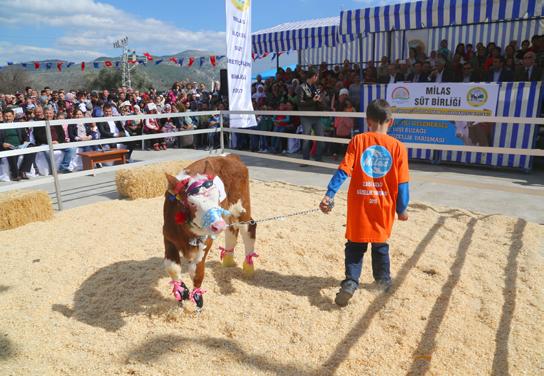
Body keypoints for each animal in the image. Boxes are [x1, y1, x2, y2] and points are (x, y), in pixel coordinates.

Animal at [162, 154, 258, 310]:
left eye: (217, 196)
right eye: (192, 203)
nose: (217, 225)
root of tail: (230, 156)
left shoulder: (205, 240)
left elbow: (196, 272)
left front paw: (197, 299)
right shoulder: (168, 236)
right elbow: (172, 267)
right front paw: (182, 293)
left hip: (241, 206)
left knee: (248, 228)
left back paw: (248, 267)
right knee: (231, 229)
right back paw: (228, 260)